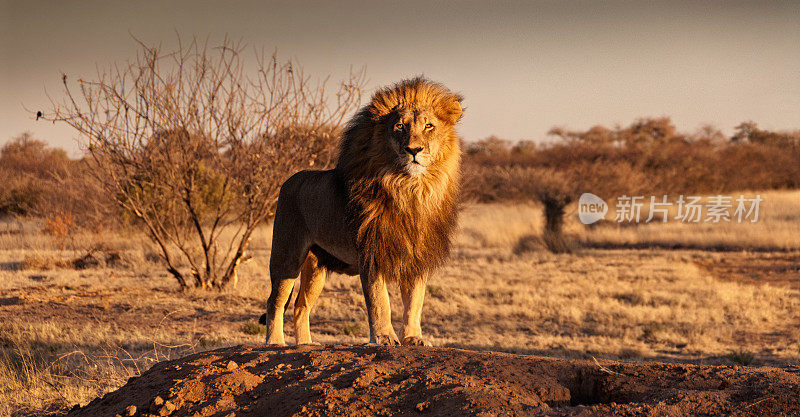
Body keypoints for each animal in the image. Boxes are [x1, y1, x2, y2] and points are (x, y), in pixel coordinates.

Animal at [262, 77, 462, 344]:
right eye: (399, 126)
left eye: (429, 126)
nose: (414, 150)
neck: (410, 190)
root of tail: (290, 179)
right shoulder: (371, 252)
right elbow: (380, 301)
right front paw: (384, 338)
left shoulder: (417, 256)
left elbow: (415, 302)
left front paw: (413, 338)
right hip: (287, 255)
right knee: (275, 301)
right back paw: (275, 343)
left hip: (316, 266)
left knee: (300, 306)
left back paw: (305, 345)